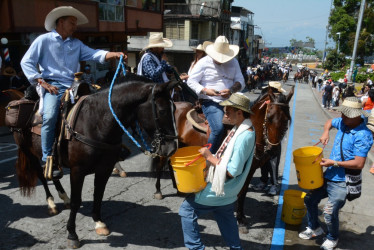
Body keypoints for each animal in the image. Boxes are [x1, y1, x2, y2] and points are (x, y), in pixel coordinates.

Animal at [12, 75, 180, 249]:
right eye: (162, 110)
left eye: (175, 109)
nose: (172, 148)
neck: (96, 122)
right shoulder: (77, 171)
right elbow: (77, 201)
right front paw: (72, 234)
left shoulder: (104, 168)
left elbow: (98, 195)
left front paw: (99, 223)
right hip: (29, 152)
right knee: (41, 175)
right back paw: (51, 204)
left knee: (51, 173)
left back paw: (64, 197)